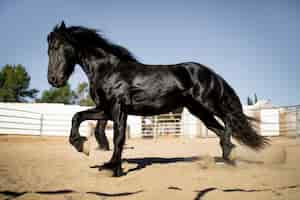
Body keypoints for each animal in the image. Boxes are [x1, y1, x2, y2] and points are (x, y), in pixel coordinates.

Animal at [47, 21, 270, 176]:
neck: (108, 70)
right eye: (48, 48)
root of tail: (210, 73)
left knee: (230, 119)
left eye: (57, 46)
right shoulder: (106, 110)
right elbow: (77, 116)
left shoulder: (118, 109)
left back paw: (227, 157)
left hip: (209, 104)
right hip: (199, 111)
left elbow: (119, 138)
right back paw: (226, 161)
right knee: (222, 130)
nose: (53, 80)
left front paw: (113, 168)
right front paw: (82, 146)